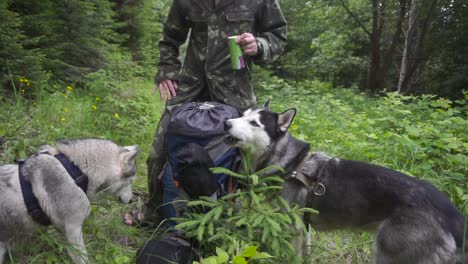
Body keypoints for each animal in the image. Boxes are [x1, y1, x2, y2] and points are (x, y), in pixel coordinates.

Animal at [0, 139, 141, 262]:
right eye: (130, 181)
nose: (131, 201)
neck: (76, 172)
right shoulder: (73, 230)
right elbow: (82, 258)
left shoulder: (65, 230)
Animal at [225, 103, 466, 264]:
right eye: (243, 115)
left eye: (254, 123)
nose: (226, 122)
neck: (290, 163)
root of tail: (451, 214)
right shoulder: (303, 228)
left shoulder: (291, 227)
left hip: (386, 253)